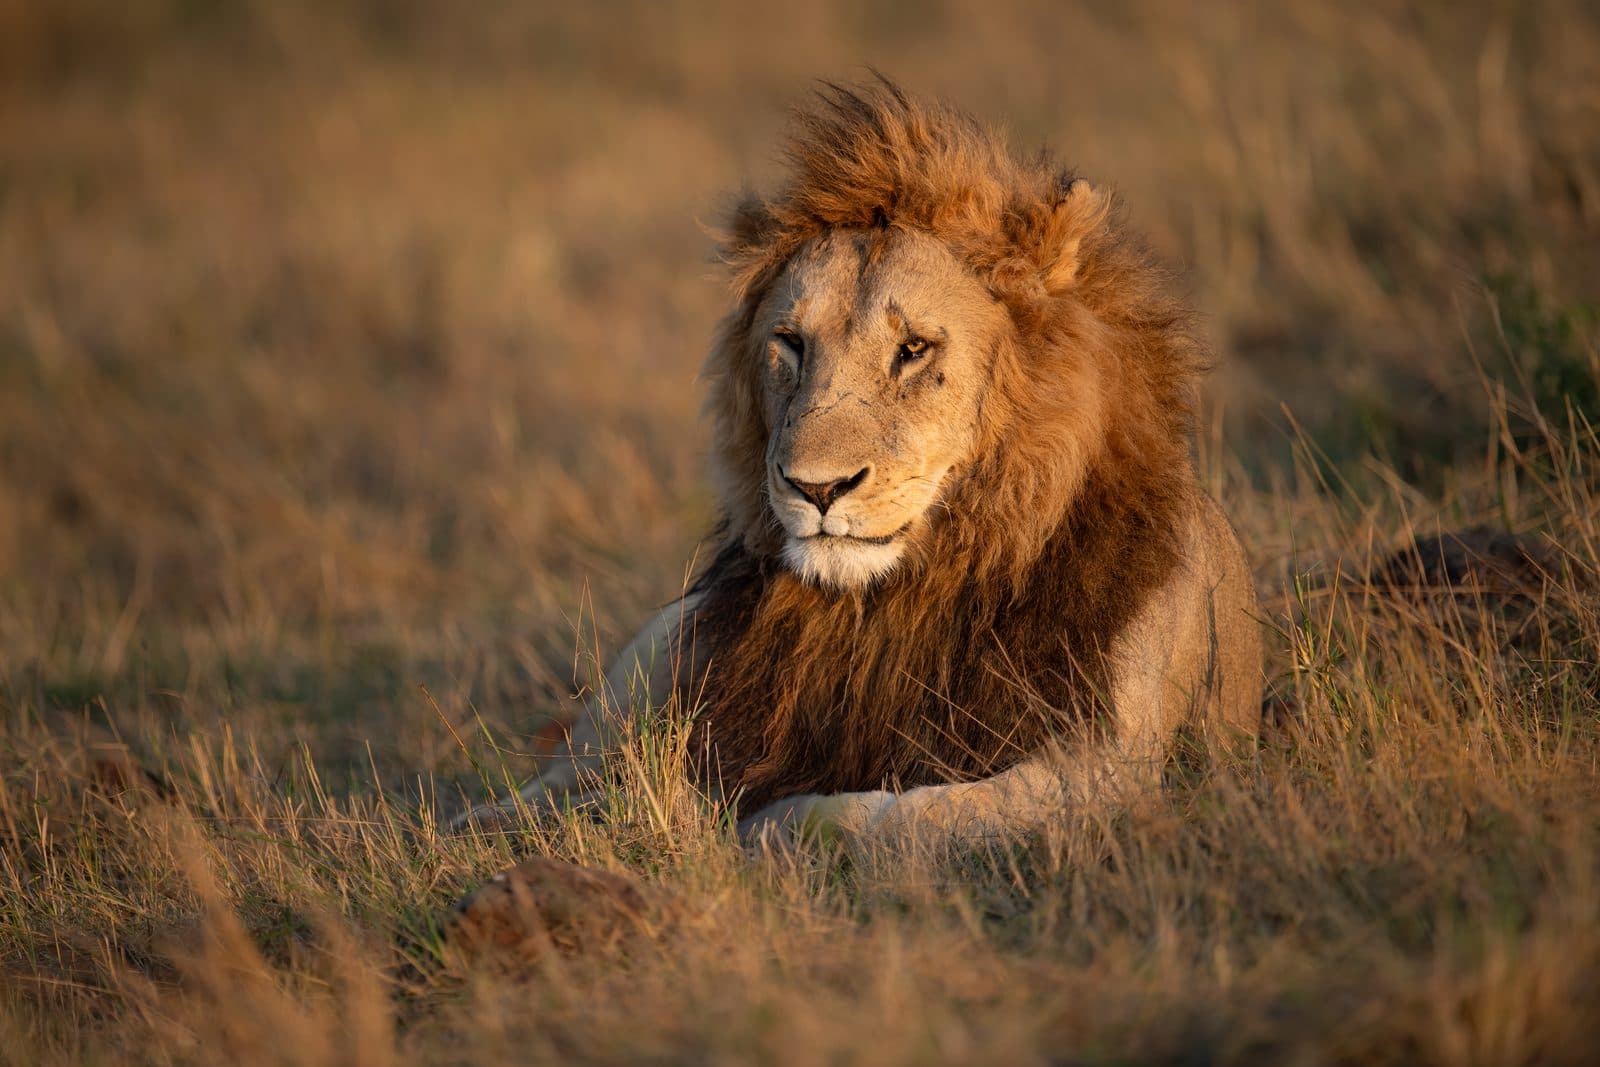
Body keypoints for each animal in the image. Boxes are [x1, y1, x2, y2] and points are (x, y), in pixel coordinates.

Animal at [465, 82, 1264, 848]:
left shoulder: (1110, 765)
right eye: (790, 342)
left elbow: (882, 815)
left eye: (913, 349)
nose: (816, 488)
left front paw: (754, 822)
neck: (898, 602)